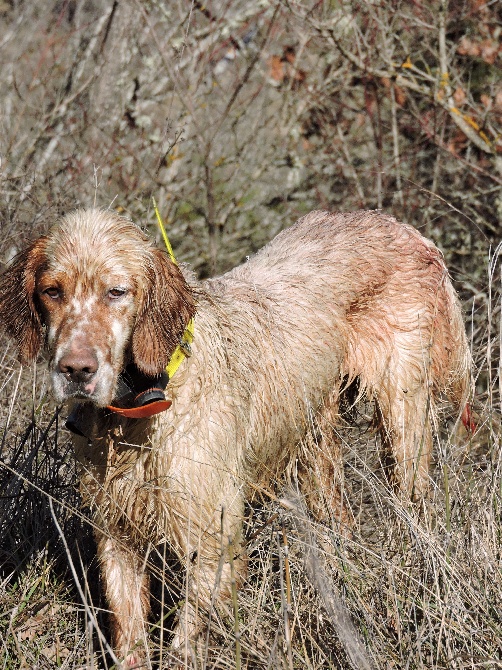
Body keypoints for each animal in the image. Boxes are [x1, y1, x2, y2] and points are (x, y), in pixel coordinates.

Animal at [0, 209, 472, 668]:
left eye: (117, 292)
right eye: (52, 291)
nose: (76, 370)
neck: (141, 408)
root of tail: (405, 228)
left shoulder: (213, 547)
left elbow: (185, 647)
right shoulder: (116, 536)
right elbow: (130, 637)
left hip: (403, 421)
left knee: (413, 508)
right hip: (316, 446)